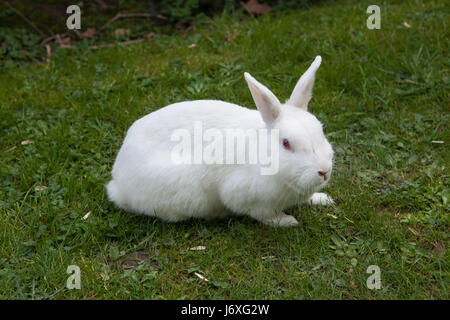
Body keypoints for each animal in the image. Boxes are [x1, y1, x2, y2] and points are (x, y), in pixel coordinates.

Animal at [107, 56, 334, 226]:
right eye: (286, 143)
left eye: (321, 130)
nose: (324, 171)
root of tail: (117, 181)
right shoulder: (246, 197)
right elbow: (265, 215)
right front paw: (287, 221)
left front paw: (323, 199)